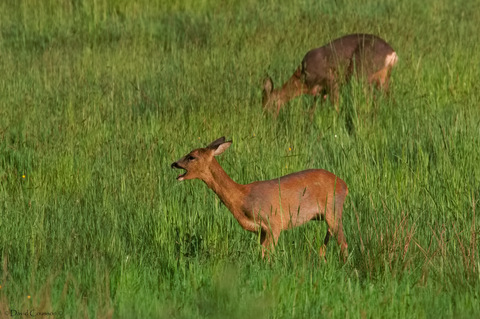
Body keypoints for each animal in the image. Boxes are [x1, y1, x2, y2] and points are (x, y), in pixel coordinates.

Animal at [172, 136, 348, 262]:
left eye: (191, 156)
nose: (174, 163)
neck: (242, 197)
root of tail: (344, 185)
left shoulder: (274, 222)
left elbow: (268, 255)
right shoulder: (262, 231)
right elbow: (261, 254)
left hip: (333, 209)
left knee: (343, 243)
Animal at [262, 33, 398, 115]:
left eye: (269, 103)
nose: (266, 117)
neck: (302, 78)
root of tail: (392, 54)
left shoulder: (332, 81)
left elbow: (336, 107)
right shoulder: (321, 92)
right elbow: (313, 111)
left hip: (362, 75)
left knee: (369, 100)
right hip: (383, 79)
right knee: (390, 99)